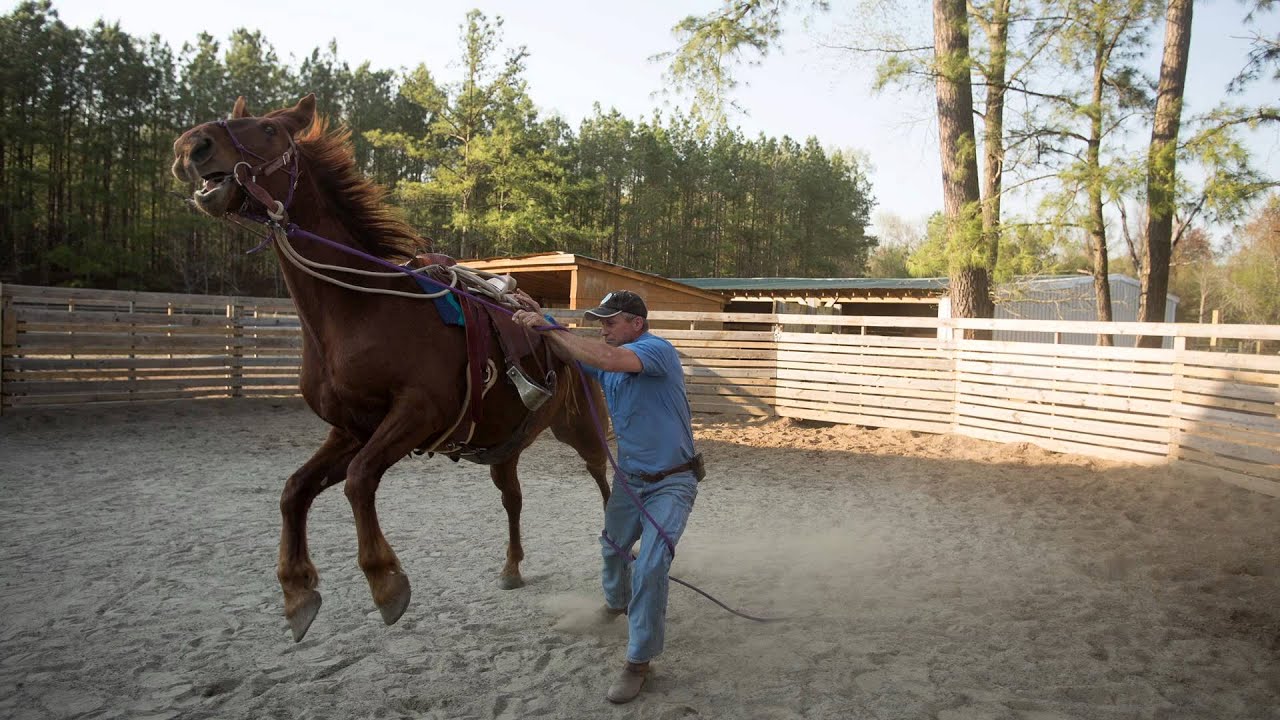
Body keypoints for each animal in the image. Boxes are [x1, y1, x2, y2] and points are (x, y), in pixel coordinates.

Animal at [174, 94, 609, 638]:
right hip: (505, 444)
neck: (360, 309)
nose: (191, 146)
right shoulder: (352, 429)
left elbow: (360, 480)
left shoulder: (417, 414)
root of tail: (558, 330)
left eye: (270, 129)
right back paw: (511, 567)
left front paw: (385, 581)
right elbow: (294, 490)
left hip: (582, 428)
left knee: (610, 482)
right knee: (513, 497)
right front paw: (297, 591)